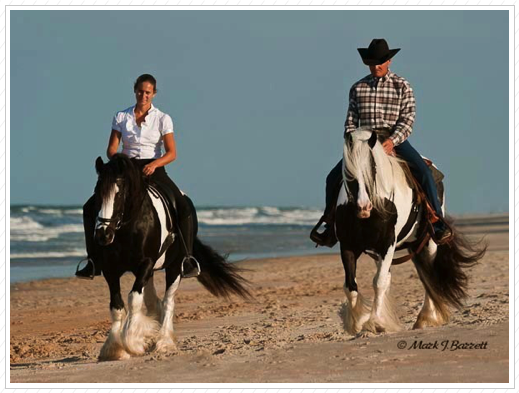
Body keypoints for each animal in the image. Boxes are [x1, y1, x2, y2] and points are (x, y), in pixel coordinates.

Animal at [92, 152, 253, 358]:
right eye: (97, 192)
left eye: (119, 193)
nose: (103, 235)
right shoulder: (111, 270)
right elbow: (116, 306)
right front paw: (114, 348)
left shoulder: (146, 263)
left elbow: (134, 299)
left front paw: (133, 343)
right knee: (154, 302)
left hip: (175, 267)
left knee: (168, 301)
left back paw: (164, 342)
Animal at [336, 128, 486, 334]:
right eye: (348, 172)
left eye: (373, 168)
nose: (363, 207)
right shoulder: (348, 245)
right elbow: (350, 286)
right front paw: (357, 323)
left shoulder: (387, 244)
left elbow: (379, 282)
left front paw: (375, 322)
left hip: (428, 243)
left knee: (429, 276)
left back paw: (424, 318)